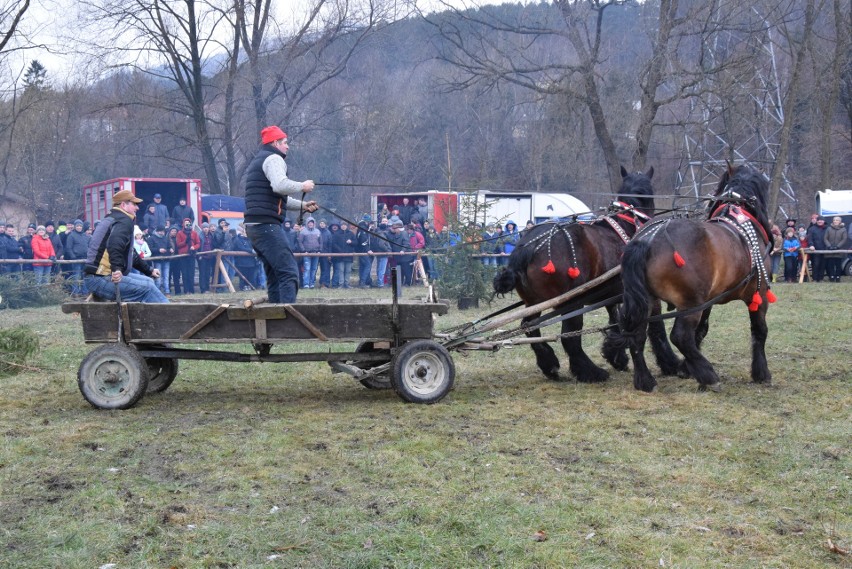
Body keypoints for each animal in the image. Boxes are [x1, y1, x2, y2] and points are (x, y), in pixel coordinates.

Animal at [492, 166, 680, 384]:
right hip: (571, 301)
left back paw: (549, 364)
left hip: (534, 302)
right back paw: (590, 371)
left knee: (529, 327)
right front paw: (671, 364)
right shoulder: (647, 295)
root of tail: (528, 246)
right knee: (569, 336)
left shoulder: (612, 295)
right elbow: (656, 327)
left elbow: (615, 320)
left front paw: (616, 356)